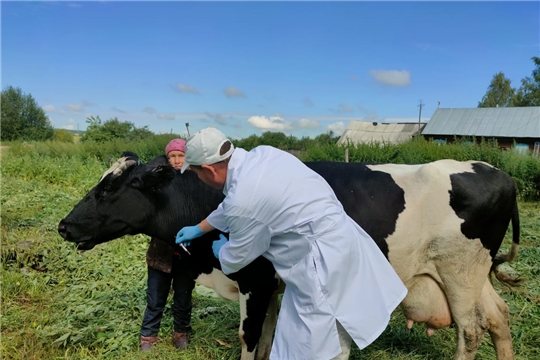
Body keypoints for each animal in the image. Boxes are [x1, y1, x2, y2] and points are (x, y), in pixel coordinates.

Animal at [58, 153, 520, 360]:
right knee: (498, 316)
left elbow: (249, 336)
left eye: (108, 189)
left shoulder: (254, 280)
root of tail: (496, 171)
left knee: (470, 331)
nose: (64, 226)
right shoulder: (274, 285)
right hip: (474, 274)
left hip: (459, 273)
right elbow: (265, 336)